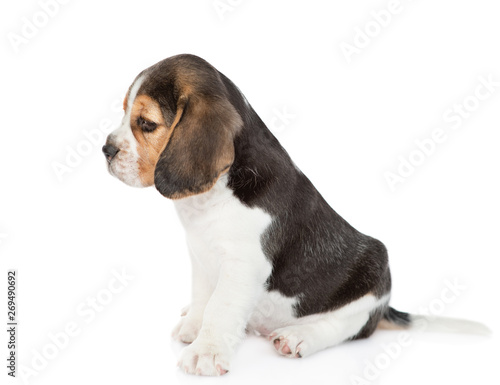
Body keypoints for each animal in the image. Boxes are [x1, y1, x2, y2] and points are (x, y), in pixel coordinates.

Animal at [101, 54, 488, 376]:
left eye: (146, 123)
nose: (105, 148)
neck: (216, 191)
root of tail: (385, 304)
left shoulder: (243, 265)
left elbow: (220, 307)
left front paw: (205, 352)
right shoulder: (200, 252)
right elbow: (202, 296)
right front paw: (192, 327)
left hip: (369, 283)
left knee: (345, 327)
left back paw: (299, 337)